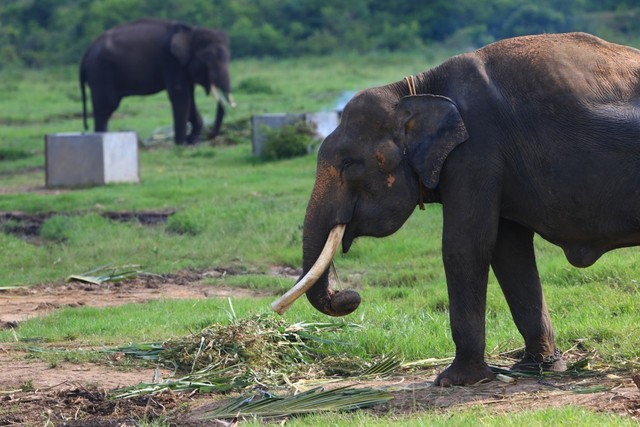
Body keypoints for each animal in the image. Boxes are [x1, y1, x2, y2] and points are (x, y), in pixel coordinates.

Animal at [79, 18, 235, 145]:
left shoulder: (182, 66)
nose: (210, 136)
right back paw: (103, 137)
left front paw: (194, 142)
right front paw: (181, 145)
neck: (190, 32)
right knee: (106, 107)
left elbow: (189, 96)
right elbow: (180, 94)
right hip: (101, 72)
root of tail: (87, 51)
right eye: (206, 61)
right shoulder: (171, 61)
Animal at [274, 32, 640, 388]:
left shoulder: (476, 151)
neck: (415, 89)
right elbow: (509, 252)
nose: (348, 295)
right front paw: (538, 368)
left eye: (348, 163)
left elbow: (464, 246)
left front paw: (454, 381)